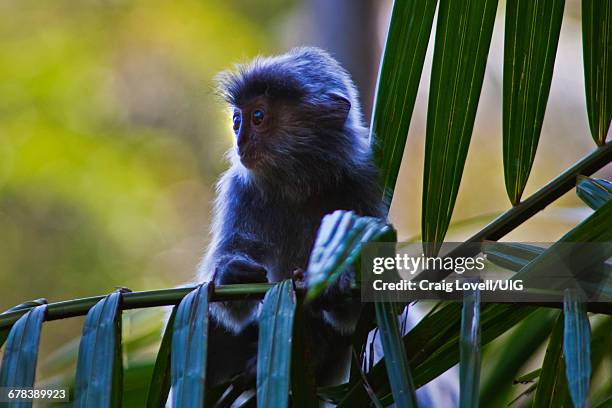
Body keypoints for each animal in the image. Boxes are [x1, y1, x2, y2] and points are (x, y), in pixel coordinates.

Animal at [198, 47, 384, 392]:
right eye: (237, 121)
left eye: (258, 117)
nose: (240, 141)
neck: (298, 183)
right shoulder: (240, 189)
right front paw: (231, 273)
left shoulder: (360, 183)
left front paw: (337, 275)